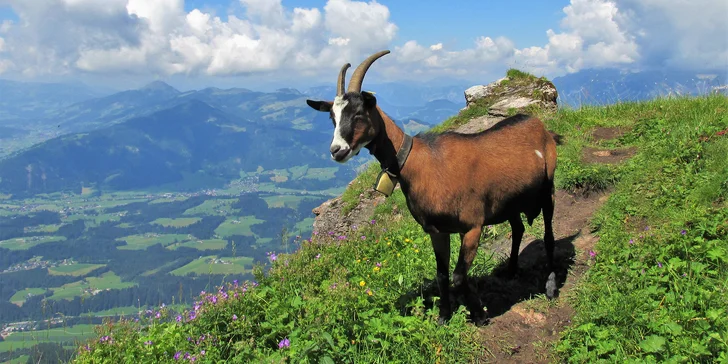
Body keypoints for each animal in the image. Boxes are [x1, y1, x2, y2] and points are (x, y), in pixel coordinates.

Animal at [304, 49, 560, 326]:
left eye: (359, 113)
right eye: (333, 118)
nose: (337, 151)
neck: (418, 162)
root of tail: (539, 125)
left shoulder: (472, 226)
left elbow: (459, 275)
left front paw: (479, 315)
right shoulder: (437, 231)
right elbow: (442, 275)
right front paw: (444, 317)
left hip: (548, 189)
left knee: (549, 236)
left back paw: (551, 286)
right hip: (510, 201)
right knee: (519, 228)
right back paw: (511, 271)